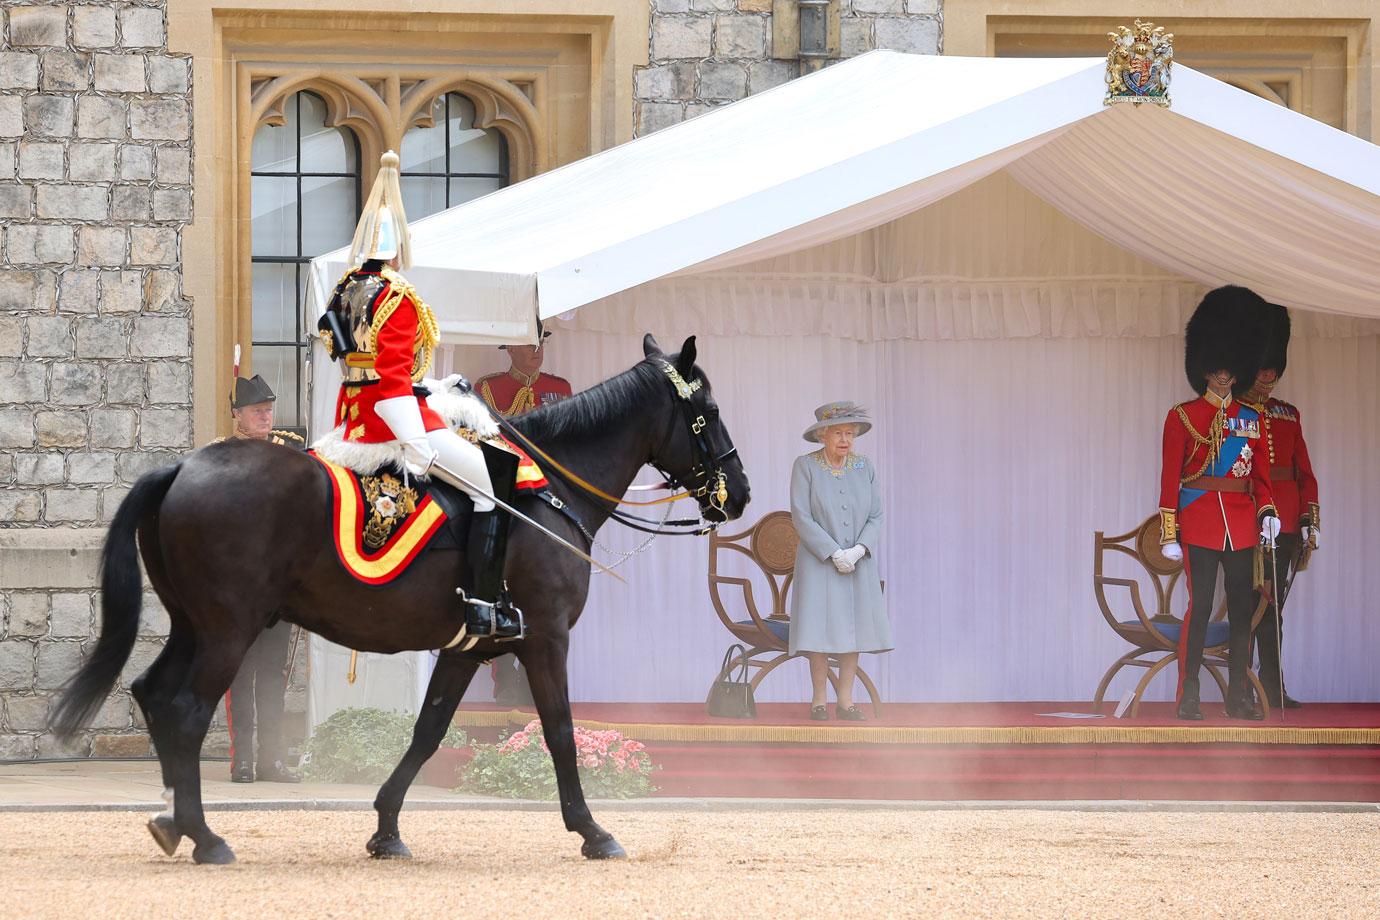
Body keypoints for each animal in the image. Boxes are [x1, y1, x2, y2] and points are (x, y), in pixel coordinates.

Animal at [53, 336, 750, 866]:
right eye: (711, 408)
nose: (739, 493)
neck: (549, 492)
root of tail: (184, 467)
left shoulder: (472, 644)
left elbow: (429, 731)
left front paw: (386, 828)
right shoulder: (546, 637)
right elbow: (559, 732)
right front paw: (593, 830)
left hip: (195, 625)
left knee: (153, 695)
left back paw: (173, 822)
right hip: (230, 631)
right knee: (188, 710)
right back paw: (205, 836)